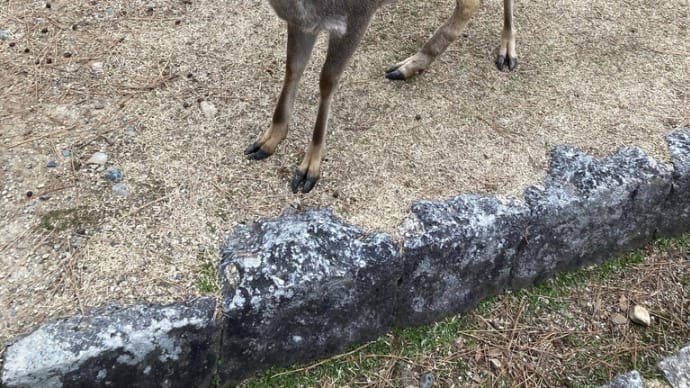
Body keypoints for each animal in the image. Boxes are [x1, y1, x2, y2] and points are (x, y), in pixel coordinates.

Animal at [245, 0, 512, 193]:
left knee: (471, 5)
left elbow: (327, 80)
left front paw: (310, 168)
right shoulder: (302, 22)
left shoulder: (358, 16)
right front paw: (267, 140)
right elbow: (293, 67)